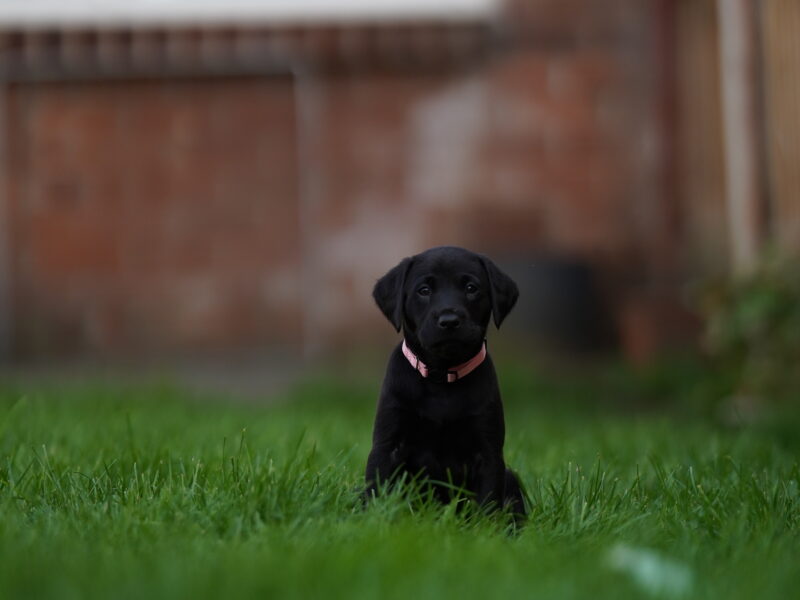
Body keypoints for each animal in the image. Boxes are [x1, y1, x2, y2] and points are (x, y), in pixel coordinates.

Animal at [366, 246, 528, 516]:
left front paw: (487, 527)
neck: (441, 376)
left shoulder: (488, 452)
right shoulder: (388, 444)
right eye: (424, 290)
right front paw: (370, 516)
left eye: (471, 288)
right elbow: (375, 487)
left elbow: (488, 501)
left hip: (511, 477)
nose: (449, 320)